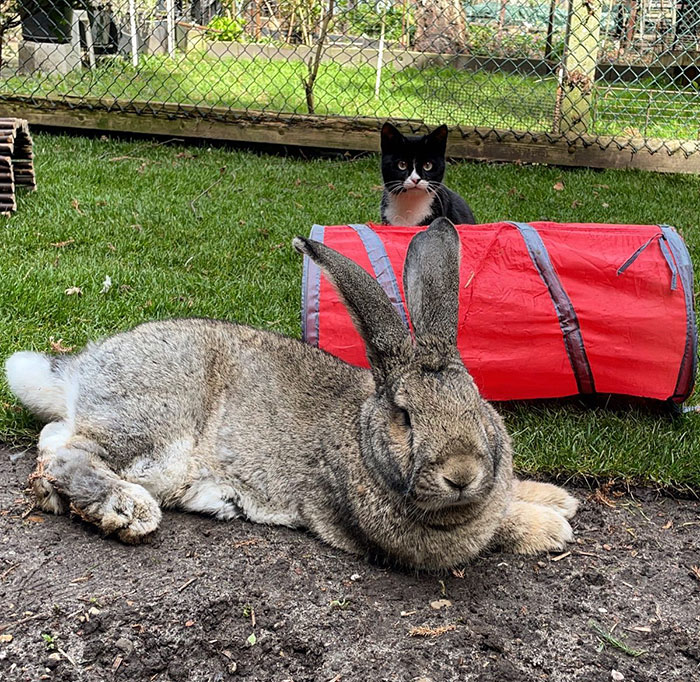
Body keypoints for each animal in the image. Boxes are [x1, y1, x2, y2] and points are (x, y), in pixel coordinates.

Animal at [5, 218, 577, 570]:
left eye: (477, 403)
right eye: (404, 416)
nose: (462, 474)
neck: (361, 436)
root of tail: (80, 370)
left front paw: (558, 499)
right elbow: (500, 525)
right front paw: (552, 527)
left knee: (53, 438)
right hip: (152, 425)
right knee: (71, 456)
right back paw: (124, 509)